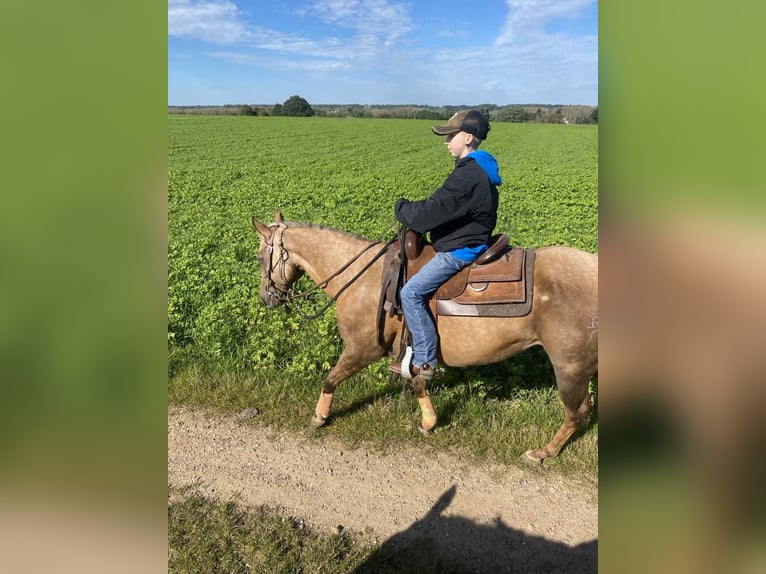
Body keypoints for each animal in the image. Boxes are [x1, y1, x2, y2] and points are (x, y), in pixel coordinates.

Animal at [252, 213, 600, 468]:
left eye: (258, 257)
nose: (266, 298)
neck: (363, 279)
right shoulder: (413, 347)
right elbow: (418, 380)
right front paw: (429, 421)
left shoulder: (364, 347)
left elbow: (331, 377)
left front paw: (319, 416)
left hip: (569, 366)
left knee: (578, 411)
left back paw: (543, 452)